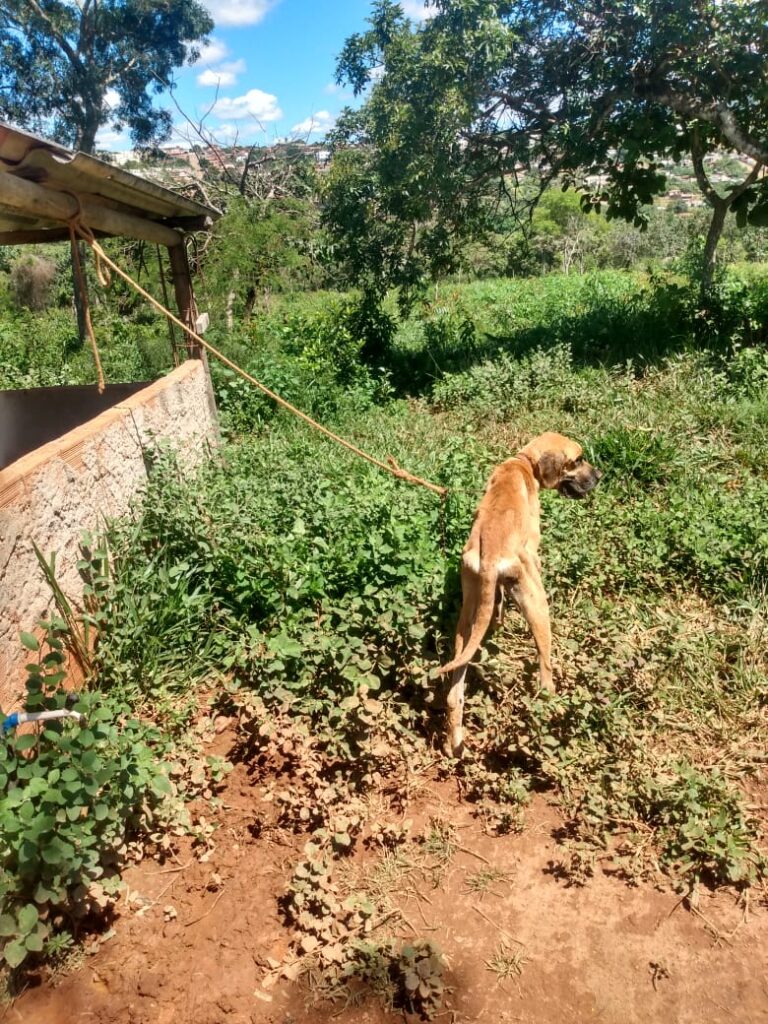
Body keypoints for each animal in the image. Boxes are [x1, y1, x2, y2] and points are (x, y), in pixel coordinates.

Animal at [438, 428, 602, 757]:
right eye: (578, 460)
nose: (600, 476)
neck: (524, 462)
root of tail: (489, 559)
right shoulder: (533, 551)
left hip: (466, 622)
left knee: (455, 690)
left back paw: (455, 743)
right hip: (536, 602)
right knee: (545, 671)